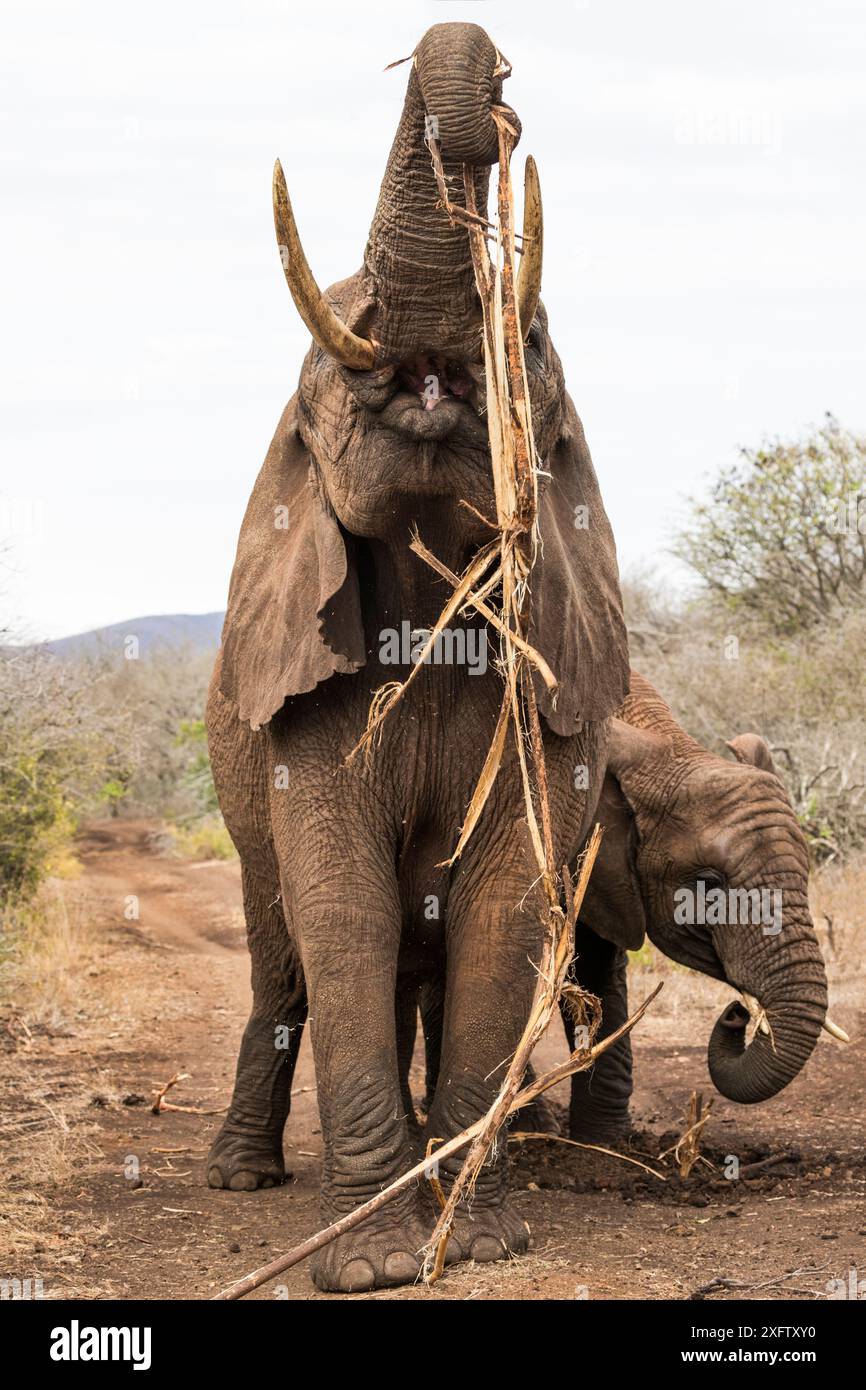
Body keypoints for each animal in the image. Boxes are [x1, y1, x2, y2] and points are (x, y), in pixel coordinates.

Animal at [205, 21, 629, 1293]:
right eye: (326, 369)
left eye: (526, 345)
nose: (480, 86)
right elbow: (342, 905)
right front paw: (374, 1258)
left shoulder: (546, 703)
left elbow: (502, 909)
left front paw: (476, 1237)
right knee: (281, 960)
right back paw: (244, 1177)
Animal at [410, 670, 832, 1143]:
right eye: (709, 884)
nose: (738, 1012)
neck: (667, 741)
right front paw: (534, 1129)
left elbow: (596, 964)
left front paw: (604, 1140)